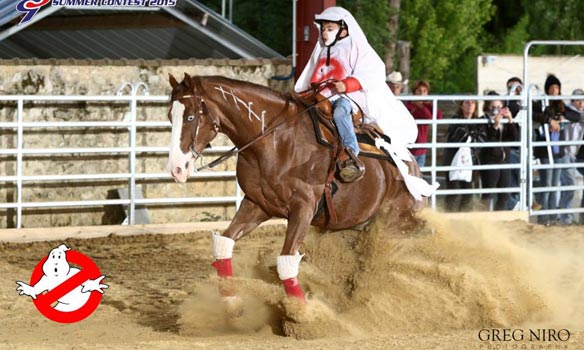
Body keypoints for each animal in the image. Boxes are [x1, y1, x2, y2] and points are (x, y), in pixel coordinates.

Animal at [167, 73, 422, 300]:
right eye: (170, 116)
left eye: (190, 117)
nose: (176, 168)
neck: (276, 141)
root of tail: (411, 164)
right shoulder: (257, 204)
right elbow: (224, 244)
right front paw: (231, 303)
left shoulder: (303, 209)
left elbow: (287, 263)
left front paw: (302, 314)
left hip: (397, 224)